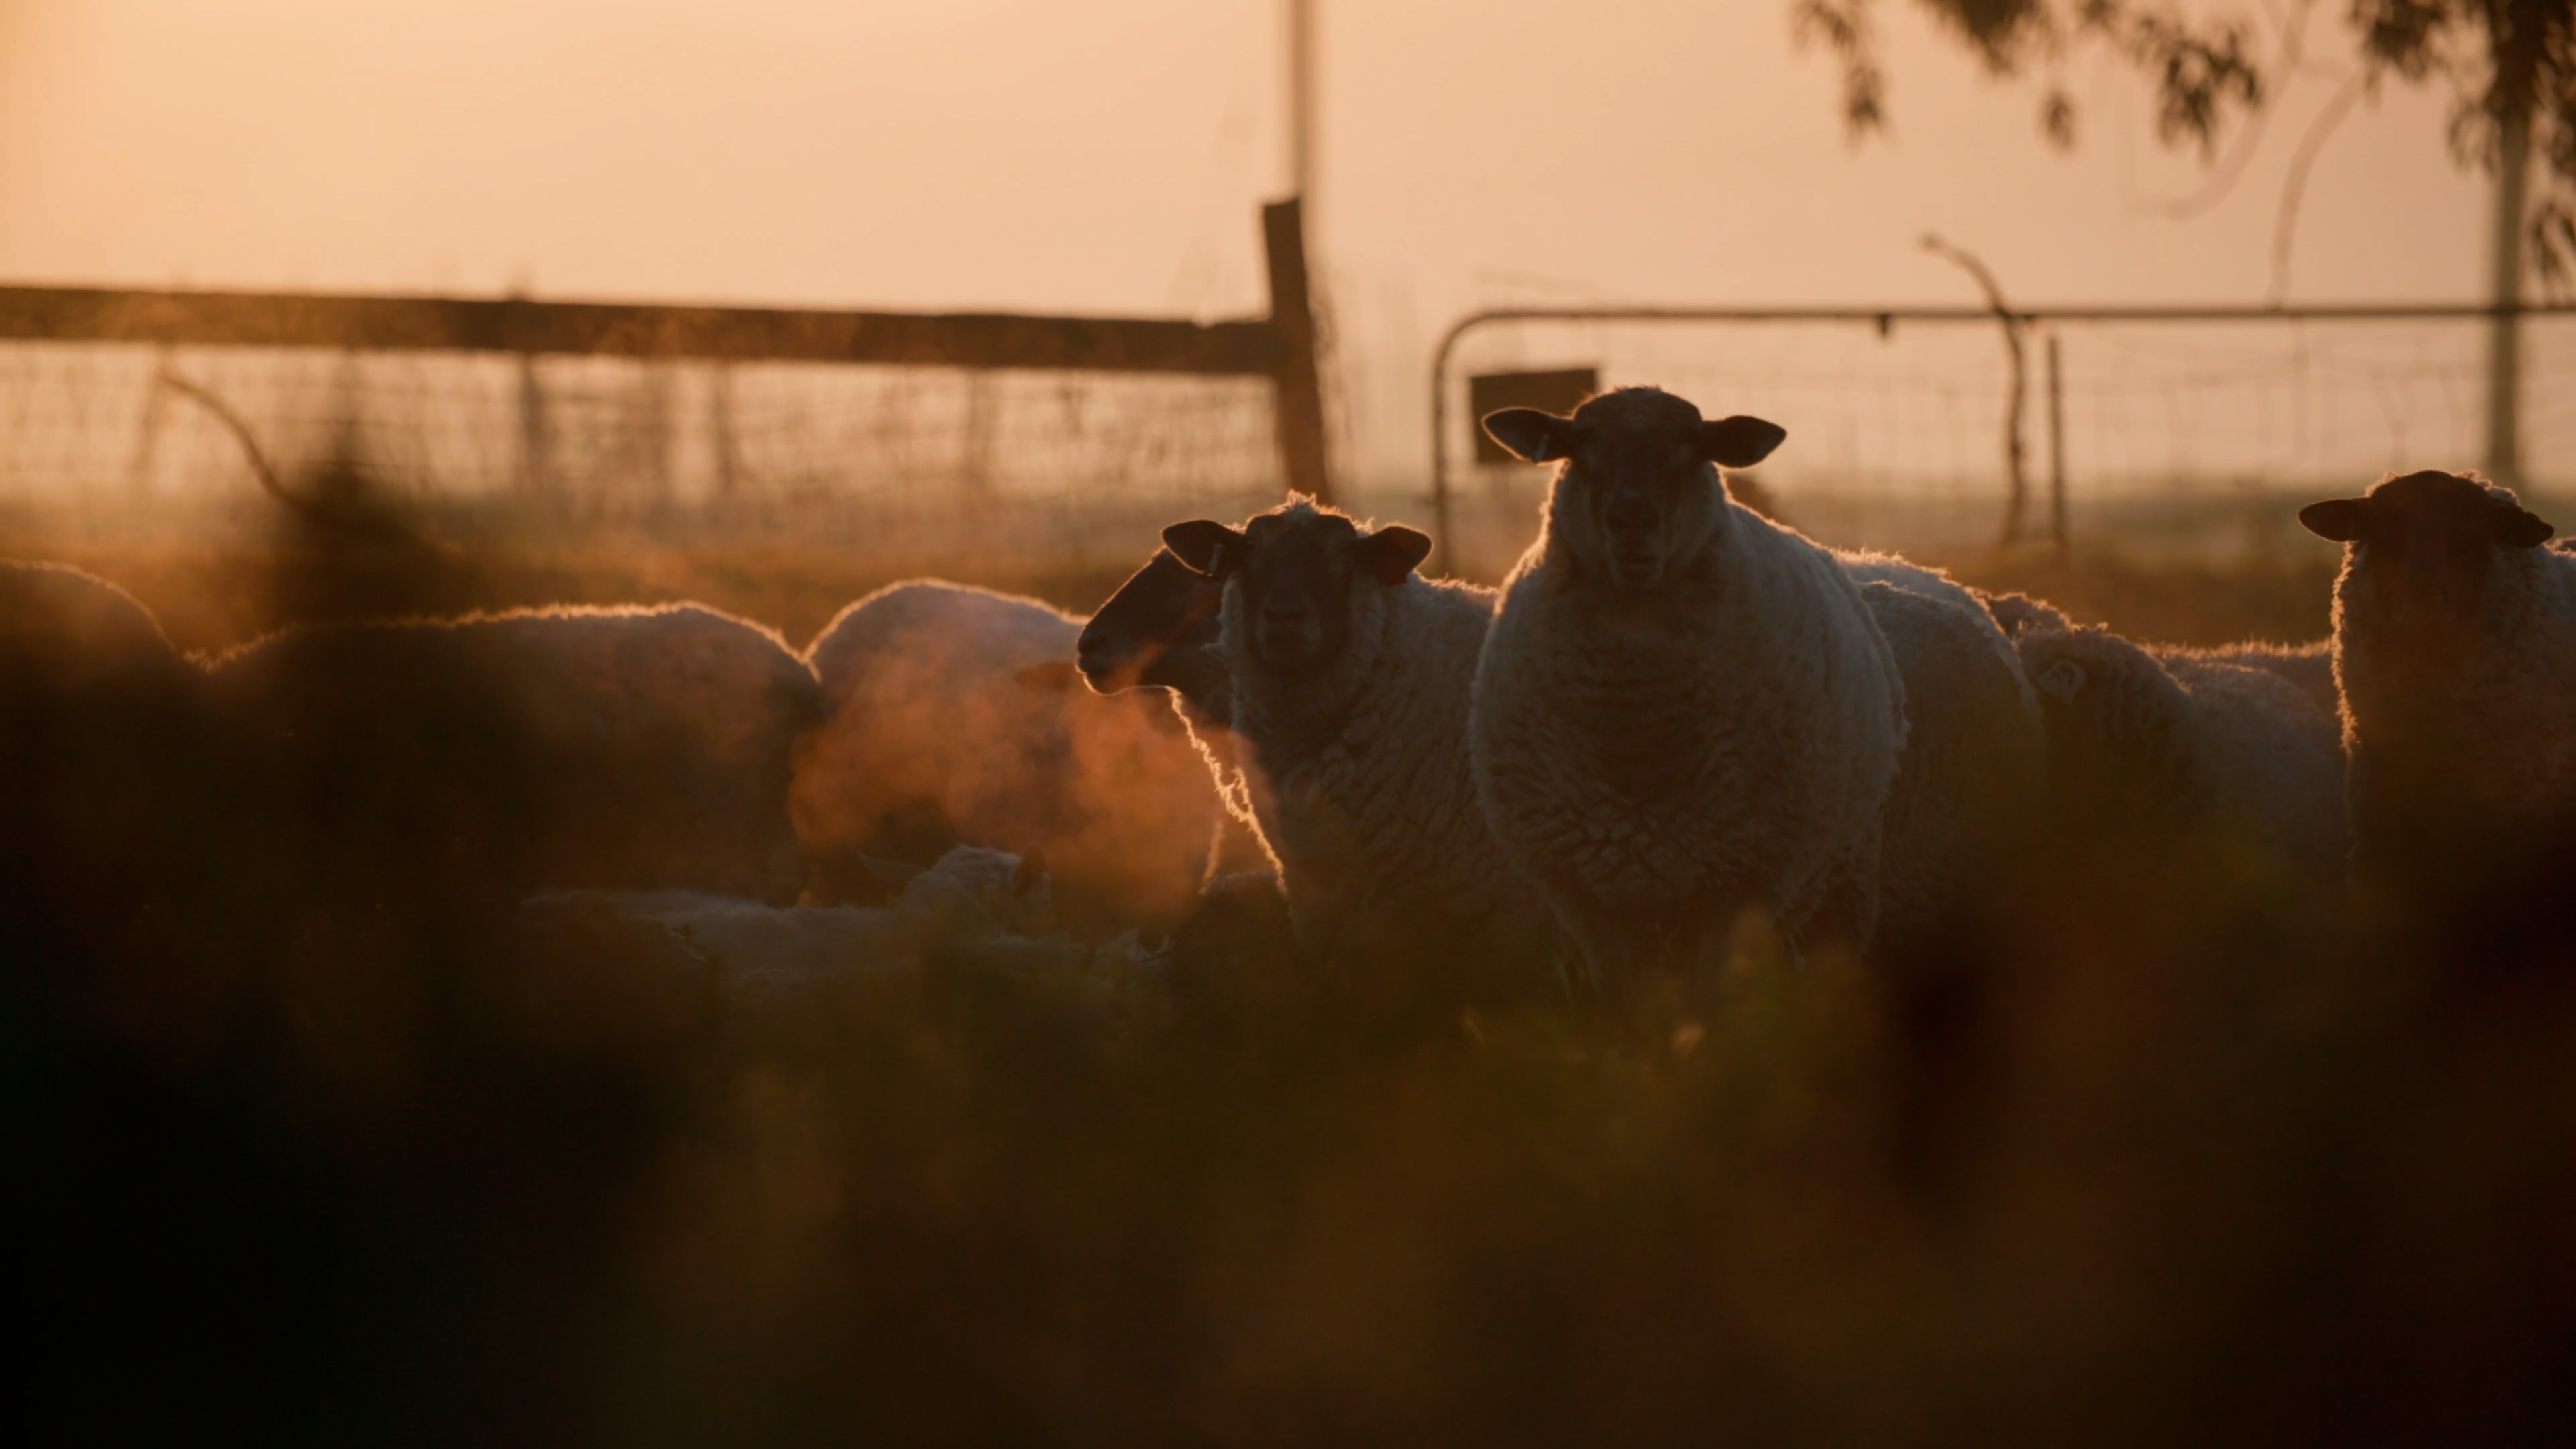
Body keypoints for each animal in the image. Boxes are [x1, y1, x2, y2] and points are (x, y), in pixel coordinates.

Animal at [1473, 388, 1907, 993]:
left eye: (1692, 444)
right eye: (1579, 444)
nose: (1631, 519)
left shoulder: (1737, 880)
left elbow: (1706, 1000)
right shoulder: (1585, 895)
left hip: (1842, 876)